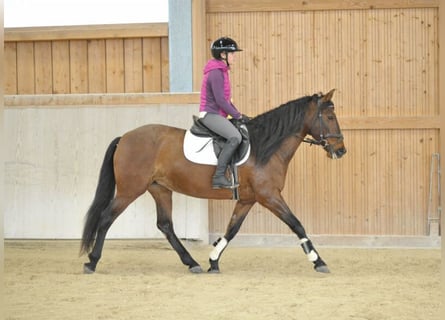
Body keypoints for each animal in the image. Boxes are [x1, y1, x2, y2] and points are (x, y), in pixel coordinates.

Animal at [80, 89, 346, 274]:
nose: (341, 150)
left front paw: (213, 261)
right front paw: (318, 261)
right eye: (329, 116)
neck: (265, 148)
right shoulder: (269, 195)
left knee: (165, 225)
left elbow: (232, 229)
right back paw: (92, 262)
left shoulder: (248, 199)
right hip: (129, 190)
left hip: (160, 189)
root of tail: (124, 137)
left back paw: (192, 263)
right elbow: (297, 224)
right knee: (106, 218)